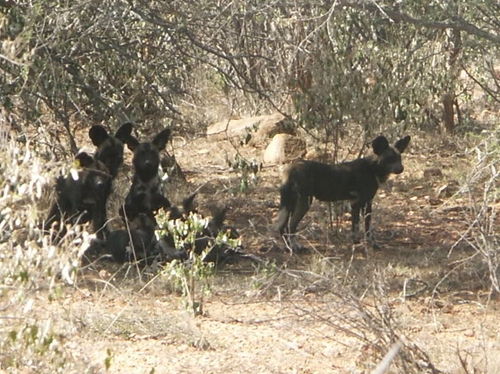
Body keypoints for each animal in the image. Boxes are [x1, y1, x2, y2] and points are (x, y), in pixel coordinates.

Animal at [276, 135, 412, 251]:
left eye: (399, 158)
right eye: (389, 159)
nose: (401, 169)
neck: (373, 168)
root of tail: (291, 168)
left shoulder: (360, 203)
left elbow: (361, 228)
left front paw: (359, 244)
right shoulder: (361, 203)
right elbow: (362, 228)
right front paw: (367, 245)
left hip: (290, 204)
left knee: (282, 228)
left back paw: (289, 248)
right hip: (304, 203)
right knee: (290, 226)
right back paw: (297, 247)